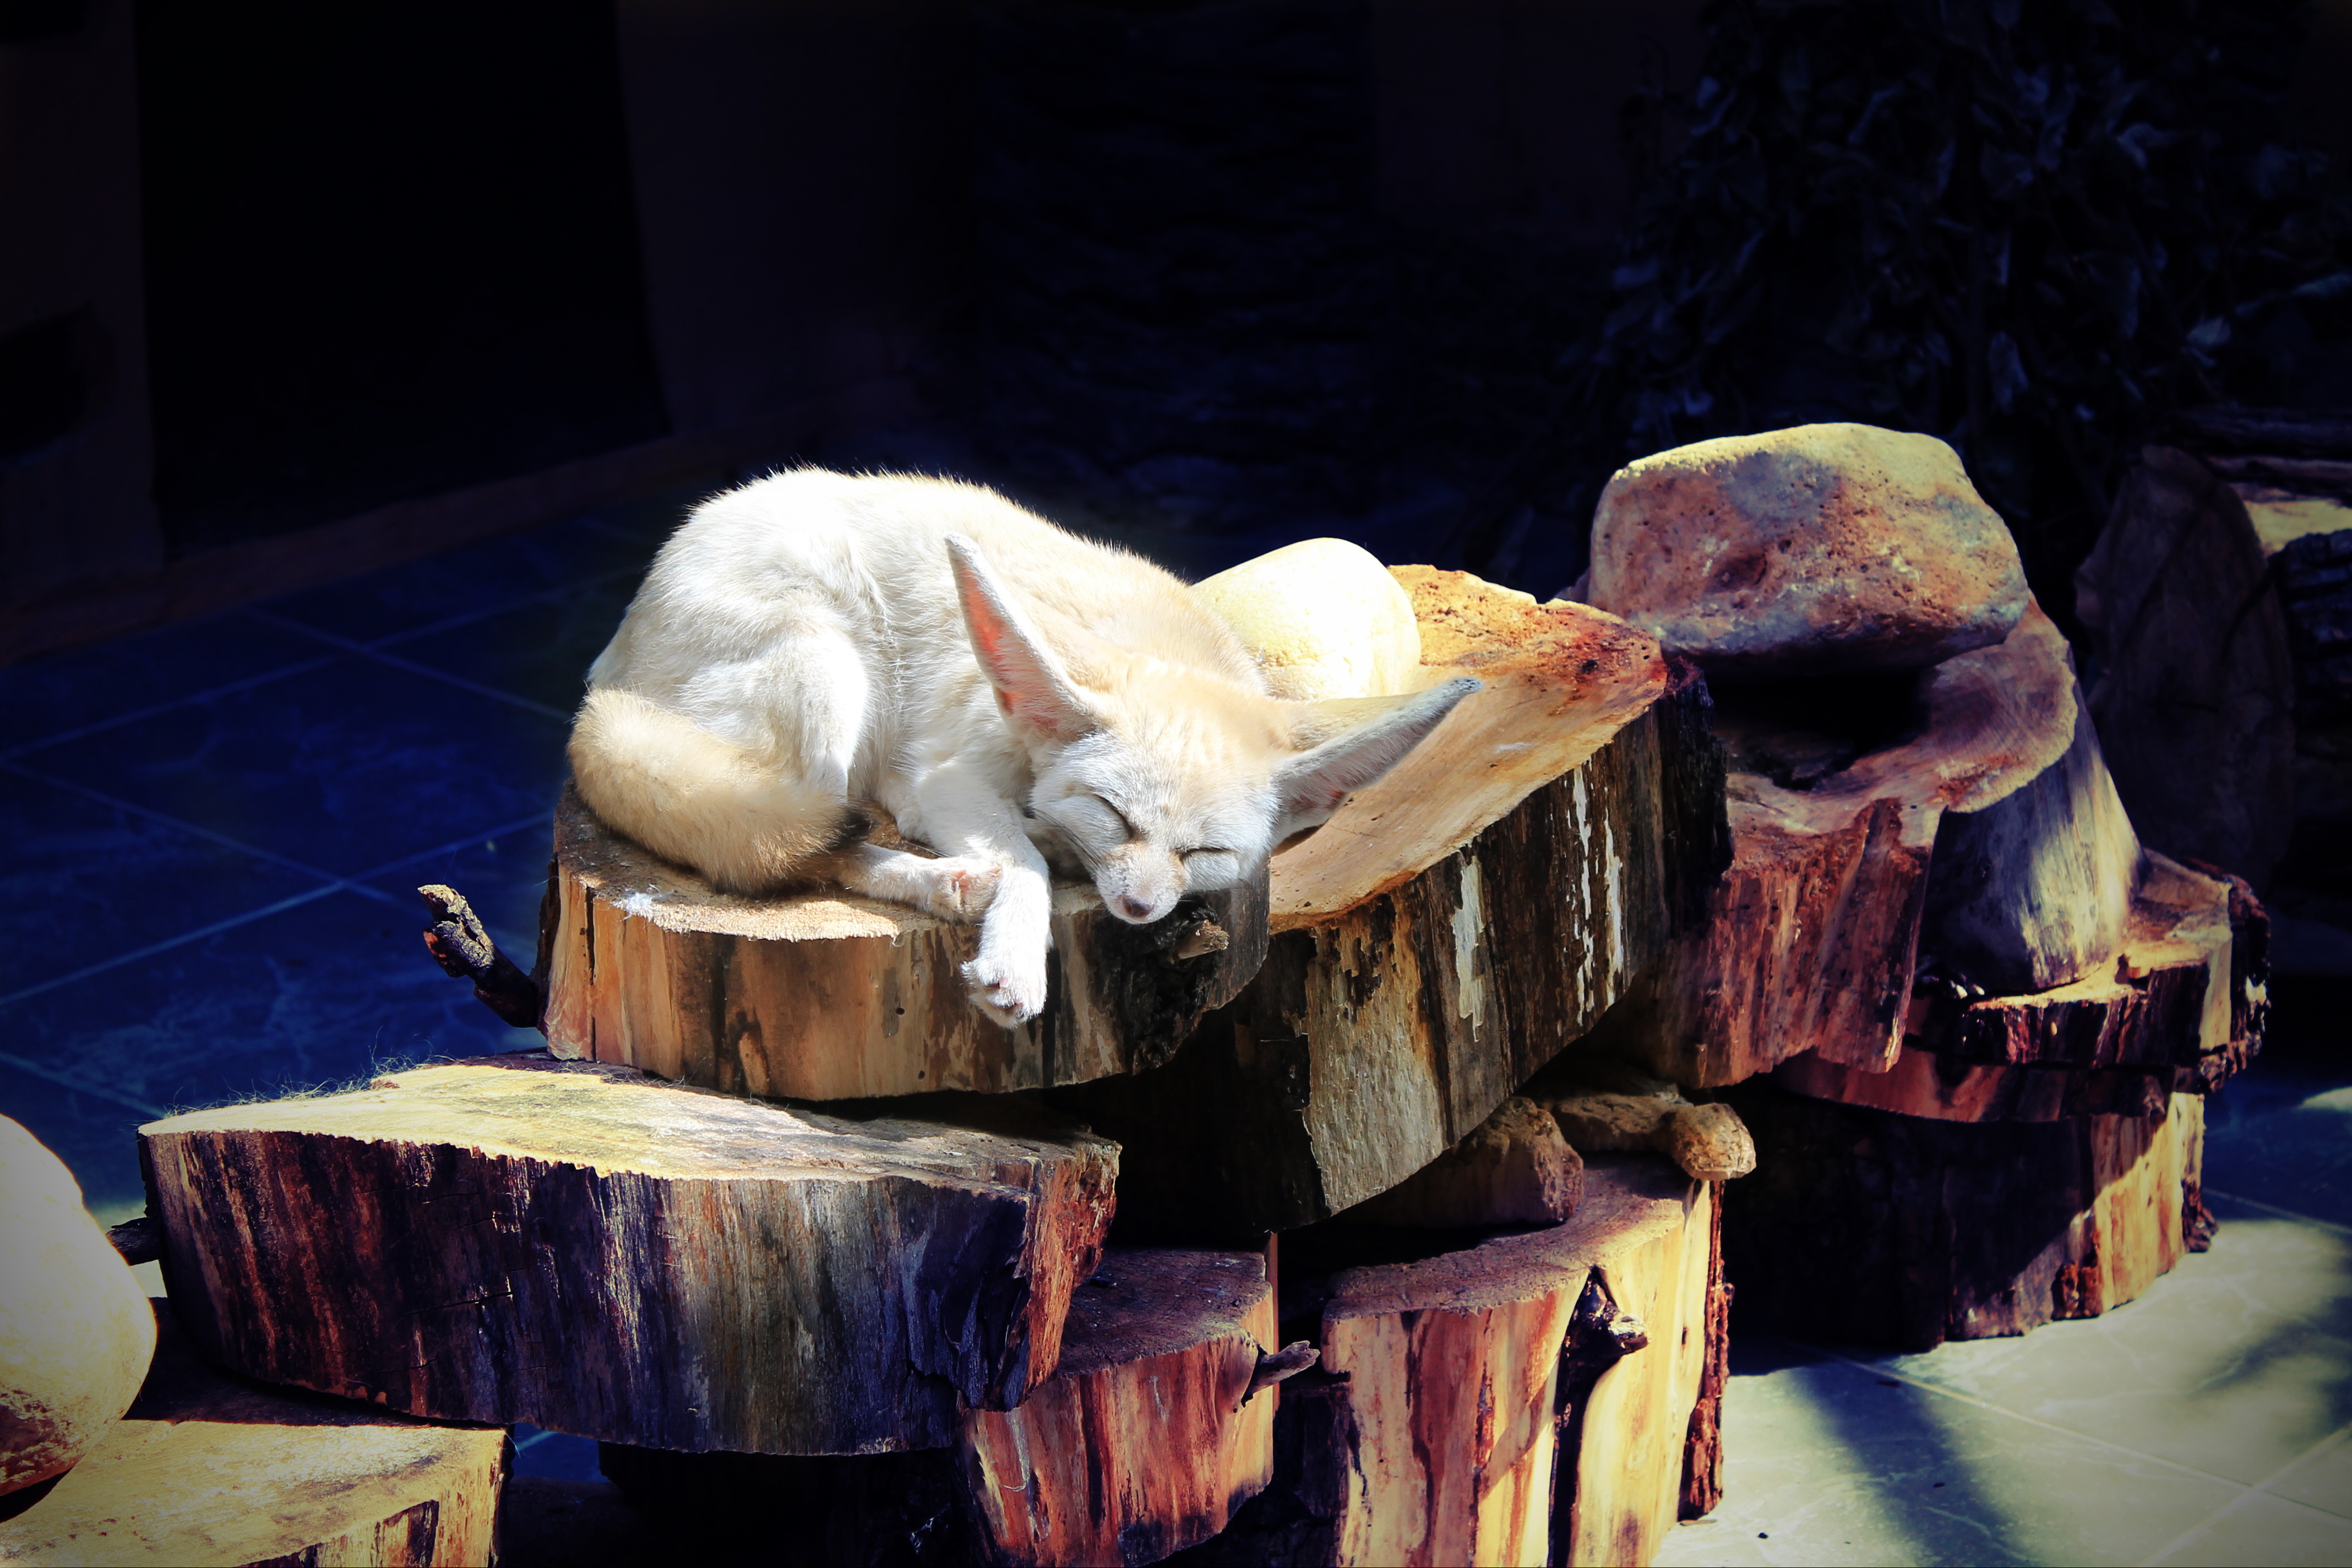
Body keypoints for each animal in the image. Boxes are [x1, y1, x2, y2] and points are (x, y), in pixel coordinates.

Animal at [569, 468, 1479, 1027]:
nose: (1140, 909)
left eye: (1206, 853)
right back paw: (936, 880)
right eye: (1114, 815)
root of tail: (603, 680)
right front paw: (1014, 955)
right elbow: (1025, 861)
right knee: (794, 846)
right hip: (828, 673)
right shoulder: (948, 777)